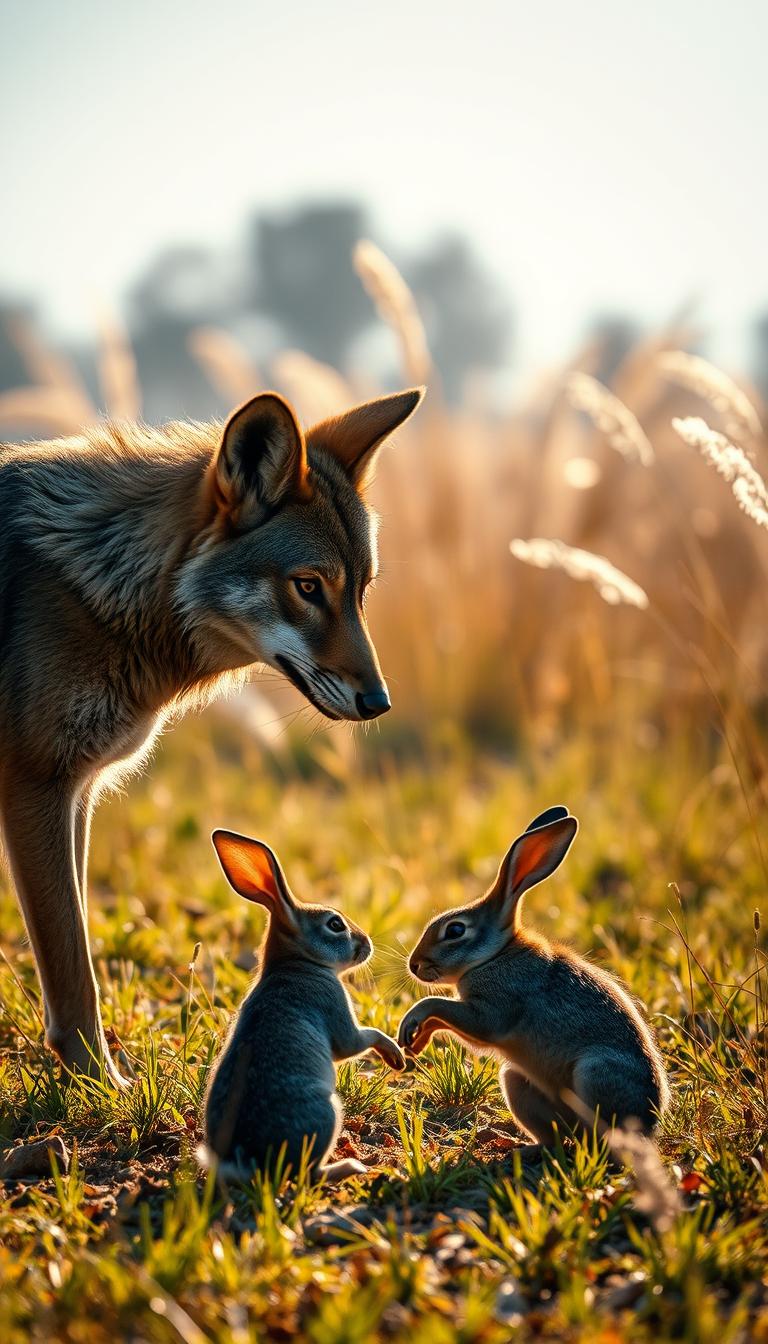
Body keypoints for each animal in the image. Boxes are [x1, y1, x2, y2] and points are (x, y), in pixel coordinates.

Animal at [200, 828, 406, 1182]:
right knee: (309, 1172)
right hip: (328, 1112)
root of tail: (252, 1159)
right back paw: (351, 1166)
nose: (366, 943)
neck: (299, 961)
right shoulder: (334, 1006)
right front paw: (394, 1054)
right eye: (335, 925)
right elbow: (357, 1041)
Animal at [398, 806, 670, 1143]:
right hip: (516, 1081)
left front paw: (412, 1023)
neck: (494, 955)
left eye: (456, 930)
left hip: (594, 1073)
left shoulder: (494, 1011)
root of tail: (650, 1122)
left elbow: (439, 1007)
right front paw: (415, 1043)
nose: (414, 965)